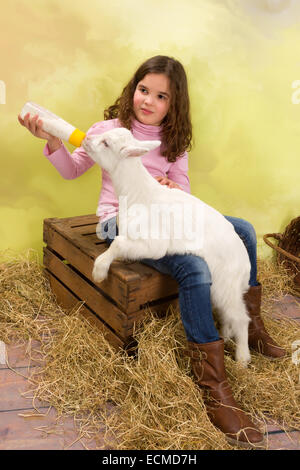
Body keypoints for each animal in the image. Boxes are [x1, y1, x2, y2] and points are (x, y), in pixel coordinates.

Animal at [83, 129, 252, 368]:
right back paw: (226, 336)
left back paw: (242, 358)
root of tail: (245, 263)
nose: (86, 139)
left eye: (106, 143)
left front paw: (99, 271)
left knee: (241, 318)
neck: (138, 194)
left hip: (226, 284)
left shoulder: (154, 244)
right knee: (229, 314)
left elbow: (118, 243)